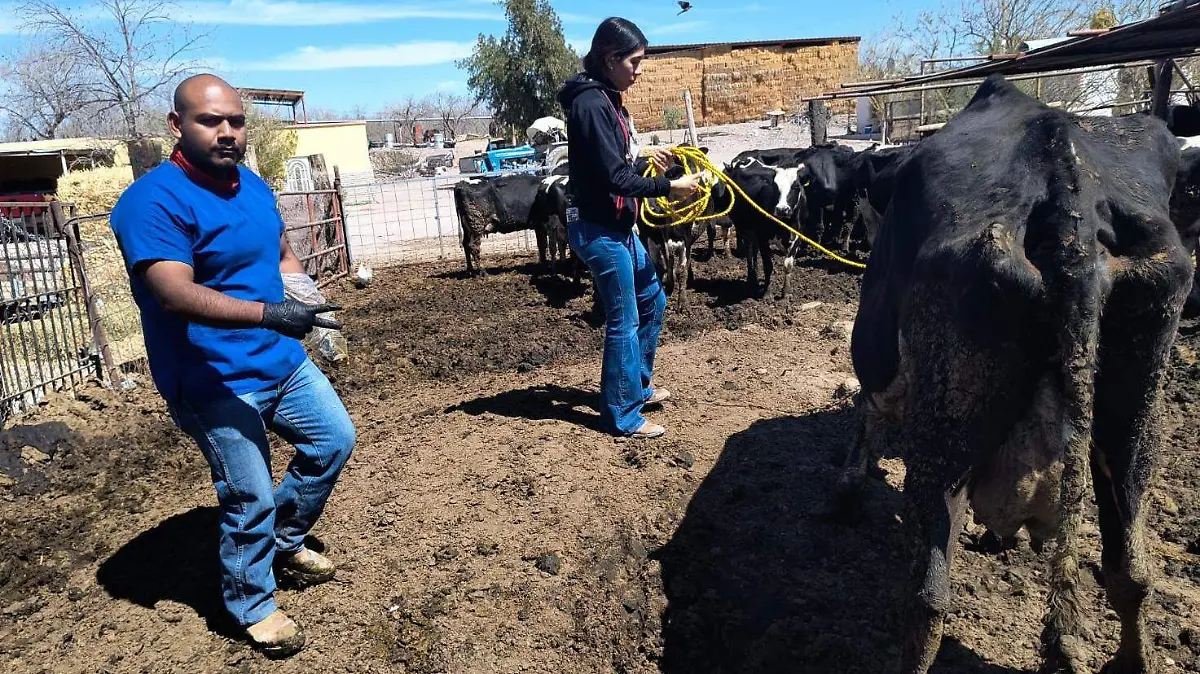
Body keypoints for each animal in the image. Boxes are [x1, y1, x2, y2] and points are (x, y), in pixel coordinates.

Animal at [835, 73, 1190, 671]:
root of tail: (1071, 206)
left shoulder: (880, 364)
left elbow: (866, 418)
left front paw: (847, 488)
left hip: (948, 440)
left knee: (929, 595)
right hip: (1136, 421)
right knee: (1131, 569)